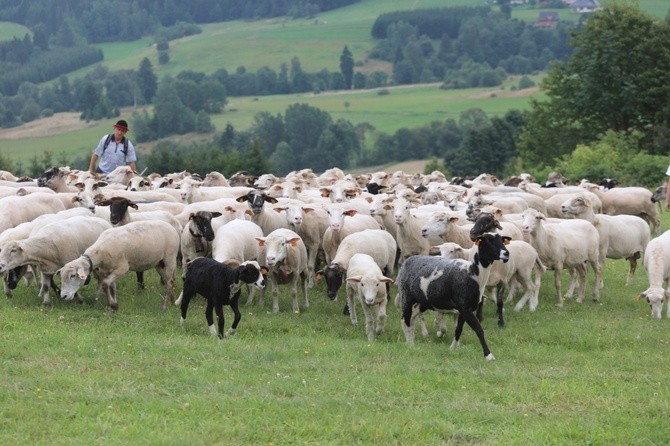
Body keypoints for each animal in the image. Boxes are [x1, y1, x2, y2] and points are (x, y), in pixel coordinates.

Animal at [396, 232, 512, 360]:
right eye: (489, 241)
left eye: (502, 240)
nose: (506, 253)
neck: (473, 273)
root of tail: (408, 260)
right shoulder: (465, 307)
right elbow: (478, 329)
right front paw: (488, 355)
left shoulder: (463, 309)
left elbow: (458, 329)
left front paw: (452, 349)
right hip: (406, 295)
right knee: (406, 319)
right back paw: (410, 344)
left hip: (423, 302)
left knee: (410, 319)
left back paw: (411, 341)